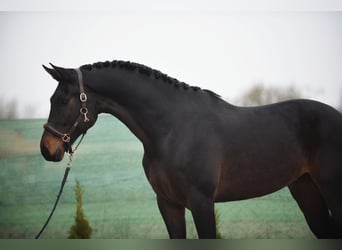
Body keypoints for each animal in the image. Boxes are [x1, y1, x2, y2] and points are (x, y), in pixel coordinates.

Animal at [40, 60, 342, 238]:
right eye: (52, 98)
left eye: (64, 100)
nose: (47, 149)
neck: (172, 129)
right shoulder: (168, 204)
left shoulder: (201, 202)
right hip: (305, 189)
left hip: (332, 191)